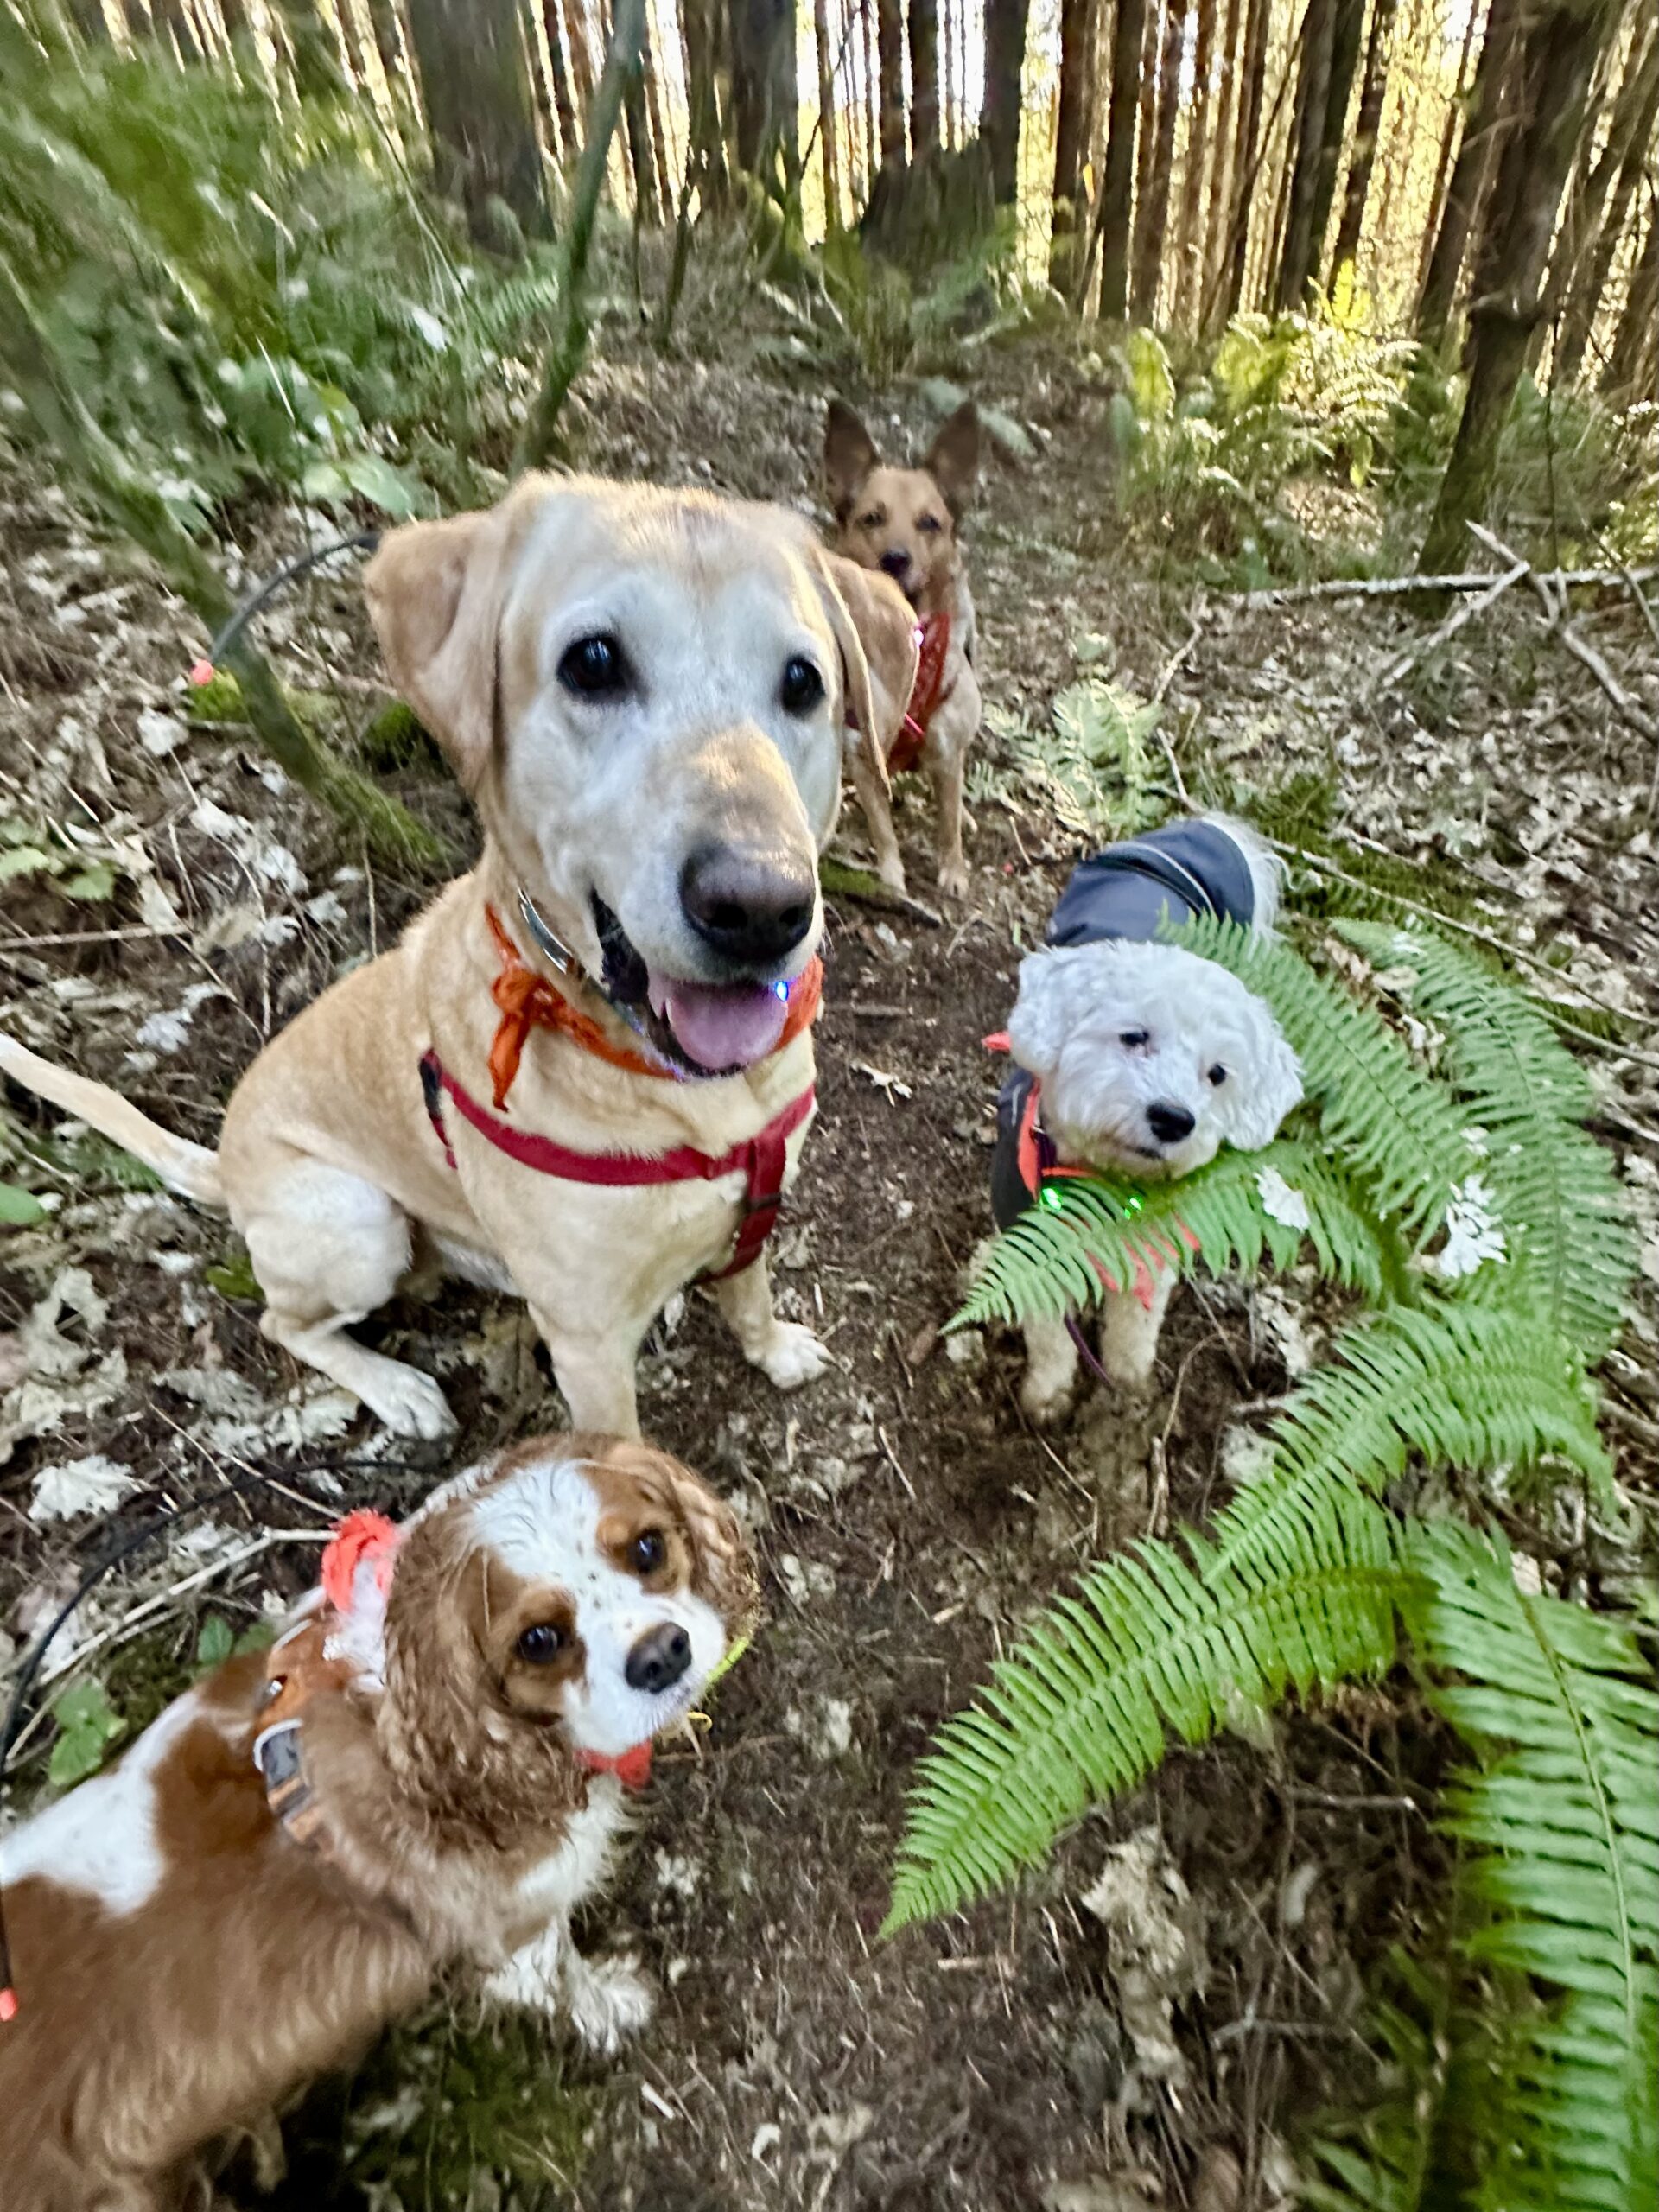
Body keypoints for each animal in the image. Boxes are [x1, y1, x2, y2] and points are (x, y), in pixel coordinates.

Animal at [1, 1433, 760, 2212]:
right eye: (540, 1640)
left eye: (648, 1547)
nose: (661, 1653)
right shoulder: (511, 1928)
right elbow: (559, 1976)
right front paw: (610, 2006)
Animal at [823, 397, 982, 898]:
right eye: (871, 518)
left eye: (929, 523)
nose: (895, 558)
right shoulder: (862, 754)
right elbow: (882, 827)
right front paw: (891, 876)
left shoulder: (947, 751)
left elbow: (947, 822)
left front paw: (954, 871)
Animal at [995, 823, 1309, 1424]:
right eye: (1134, 1036)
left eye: (1217, 1073)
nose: (1173, 1118)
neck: (1105, 1183)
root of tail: (1207, 826)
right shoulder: (1026, 1228)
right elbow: (1046, 1319)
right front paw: (1048, 1391)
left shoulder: (1157, 1234)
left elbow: (1137, 1318)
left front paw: (1127, 1383)